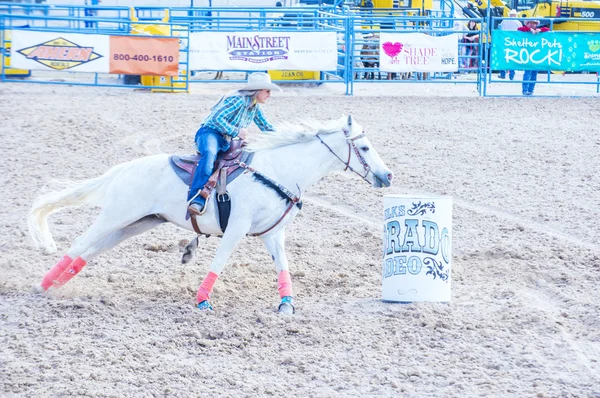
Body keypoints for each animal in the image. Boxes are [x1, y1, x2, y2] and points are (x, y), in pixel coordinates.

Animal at [28, 114, 394, 314]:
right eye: (364, 147)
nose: (387, 175)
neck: (278, 170)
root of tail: (121, 170)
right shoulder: (237, 226)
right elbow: (221, 260)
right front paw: (203, 300)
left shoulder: (273, 233)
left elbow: (283, 267)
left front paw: (286, 304)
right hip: (116, 216)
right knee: (80, 242)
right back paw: (41, 287)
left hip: (136, 223)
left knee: (90, 252)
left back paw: (56, 284)